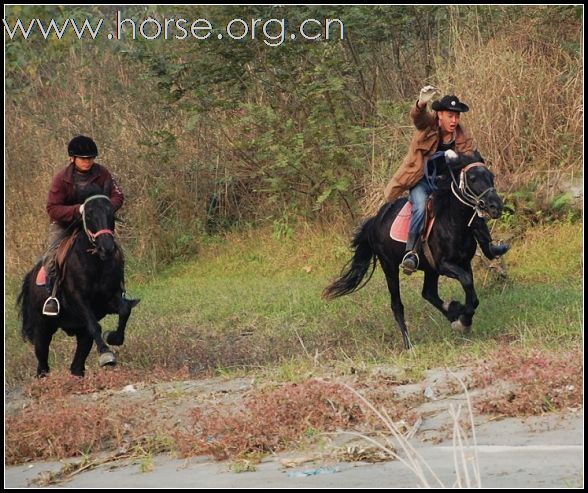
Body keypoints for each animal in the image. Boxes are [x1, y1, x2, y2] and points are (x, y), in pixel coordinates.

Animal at [17, 194, 140, 374]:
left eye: (111, 212)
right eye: (88, 216)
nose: (107, 247)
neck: (95, 262)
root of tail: (31, 276)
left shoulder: (110, 298)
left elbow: (124, 310)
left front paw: (112, 337)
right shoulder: (78, 299)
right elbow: (94, 324)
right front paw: (106, 354)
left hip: (80, 335)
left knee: (76, 366)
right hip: (42, 330)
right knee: (42, 364)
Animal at [324, 152, 504, 348]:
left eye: (491, 176)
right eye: (472, 178)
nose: (496, 206)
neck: (452, 221)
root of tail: (375, 220)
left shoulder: (463, 262)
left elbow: (471, 292)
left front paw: (461, 316)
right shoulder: (444, 265)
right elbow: (467, 282)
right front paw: (463, 319)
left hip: (429, 269)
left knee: (428, 293)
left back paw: (451, 313)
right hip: (390, 267)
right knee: (397, 305)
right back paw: (409, 344)